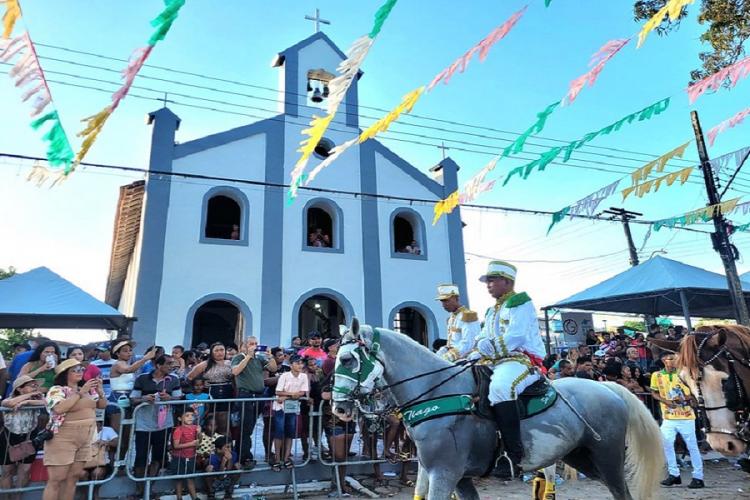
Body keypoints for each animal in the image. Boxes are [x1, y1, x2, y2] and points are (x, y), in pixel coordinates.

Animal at [334, 320, 664, 500]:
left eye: (348, 359)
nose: (339, 408)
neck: (438, 392)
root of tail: (610, 389)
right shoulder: (454, 476)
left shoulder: (444, 472)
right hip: (581, 457)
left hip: (607, 458)